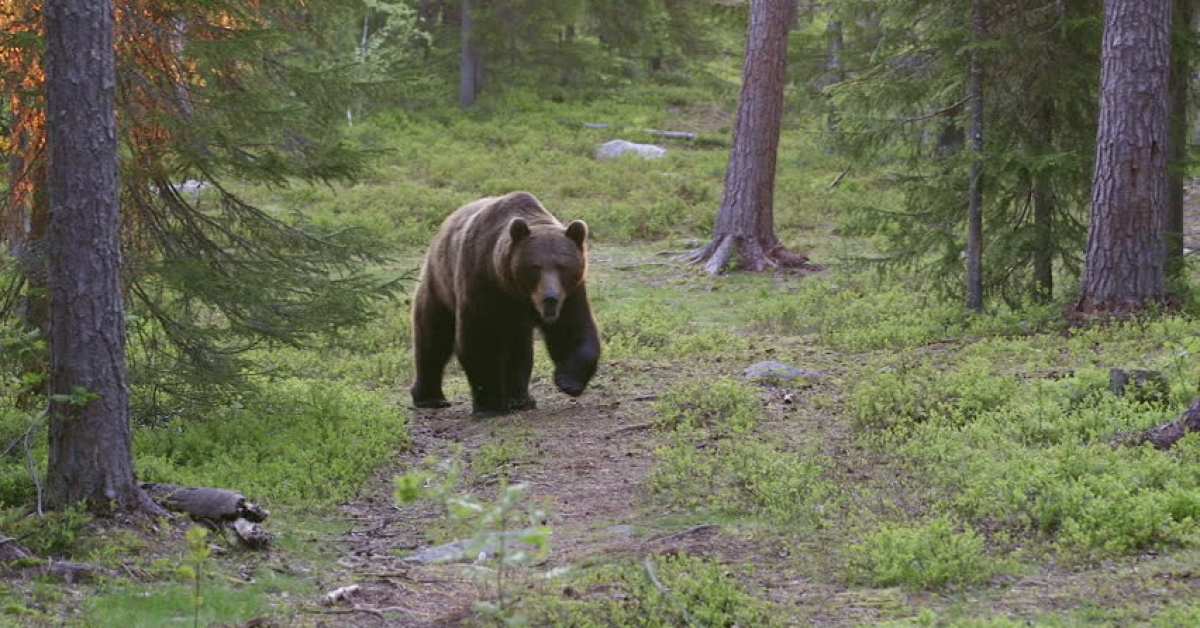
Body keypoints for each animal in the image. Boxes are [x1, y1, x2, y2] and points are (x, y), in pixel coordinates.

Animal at [410, 192, 600, 417]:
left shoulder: (570, 294)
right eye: (535, 266)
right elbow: (479, 341)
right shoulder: (482, 284)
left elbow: (573, 330)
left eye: (562, 266)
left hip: (515, 323)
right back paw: (430, 398)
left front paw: (568, 381)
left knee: (519, 350)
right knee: (433, 337)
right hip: (439, 284)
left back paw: (520, 399)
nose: (550, 298)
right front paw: (489, 406)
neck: (514, 291)